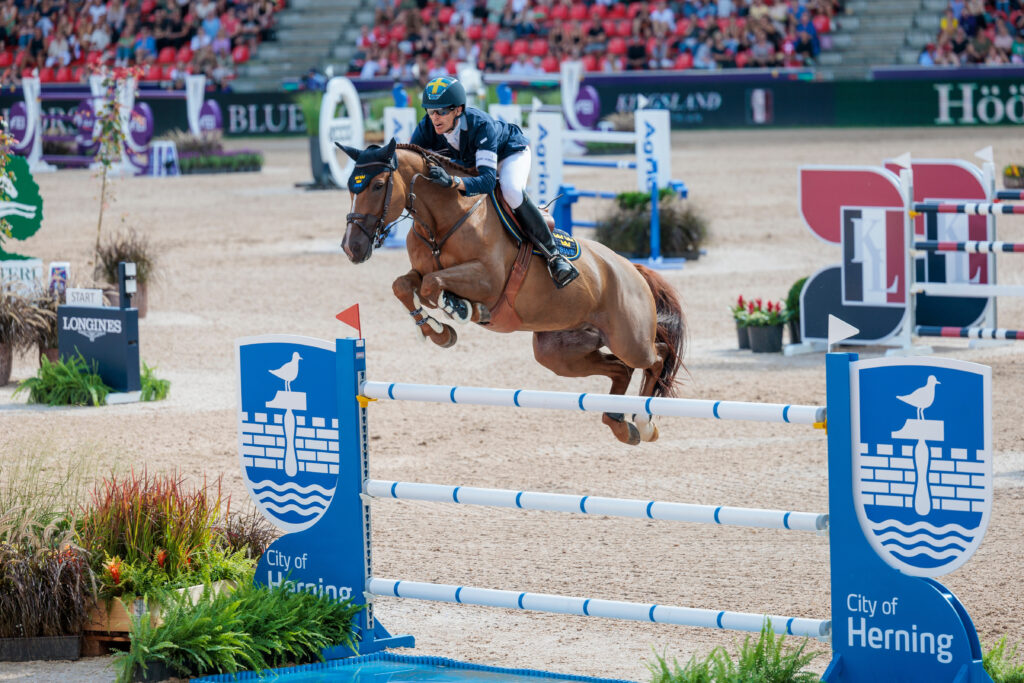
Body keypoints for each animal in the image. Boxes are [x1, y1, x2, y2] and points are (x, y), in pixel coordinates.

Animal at [337, 141, 688, 446]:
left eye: (377, 185)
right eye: (351, 187)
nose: (352, 248)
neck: (444, 221)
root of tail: (632, 268)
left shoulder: (489, 281)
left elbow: (432, 285)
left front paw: (460, 309)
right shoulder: (421, 271)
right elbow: (405, 286)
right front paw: (439, 332)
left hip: (629, 338)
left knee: (656, 356)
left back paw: (644, 422)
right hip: (559, 353)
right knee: (620, 368)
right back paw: (619, 423)